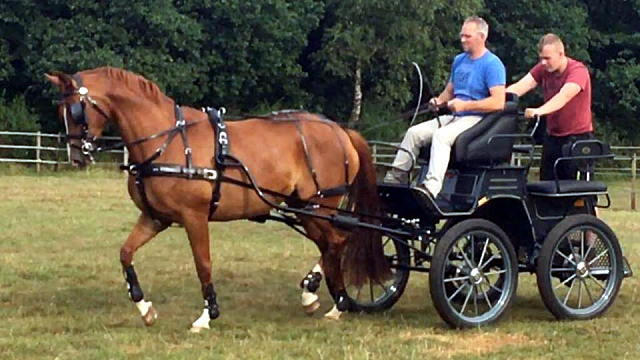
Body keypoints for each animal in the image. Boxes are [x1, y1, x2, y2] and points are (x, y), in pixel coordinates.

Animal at [46, 67, 390, 332]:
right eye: (60, 111)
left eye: (76, 111)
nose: (76, 156)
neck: (165, 140)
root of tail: (341, 131)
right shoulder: (156, 217)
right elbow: (125, 254)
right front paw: (145, 309)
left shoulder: (194, 217)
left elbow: (203, 264)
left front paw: (207, 315)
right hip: (303, 207)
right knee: (330, 244)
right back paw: (312, 294)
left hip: (320, 204)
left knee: (337, 242)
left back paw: (338, 303)